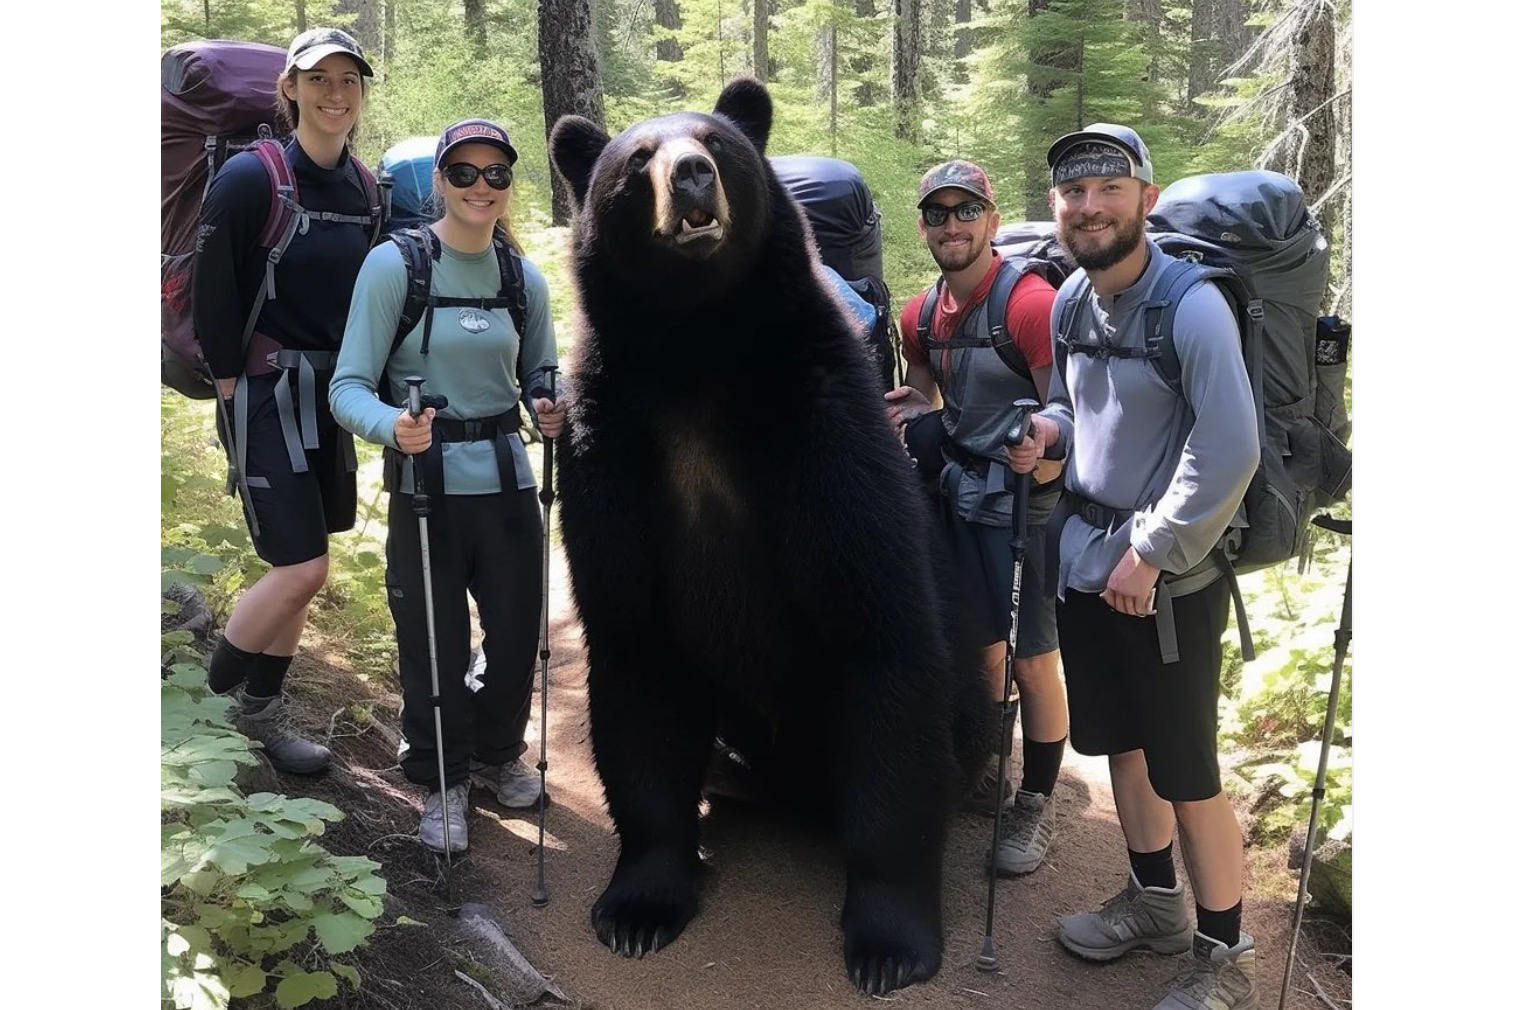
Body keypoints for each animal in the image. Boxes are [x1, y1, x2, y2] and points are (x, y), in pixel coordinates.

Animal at [547, 78, 994, 995]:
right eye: (636, 159)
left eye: (717, 142)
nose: (690, 175)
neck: (696, 354)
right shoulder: (609, 447)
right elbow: (634, 648)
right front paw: (639, 905)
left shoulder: (822, 430)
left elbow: (881, 635)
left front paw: (888, 942)